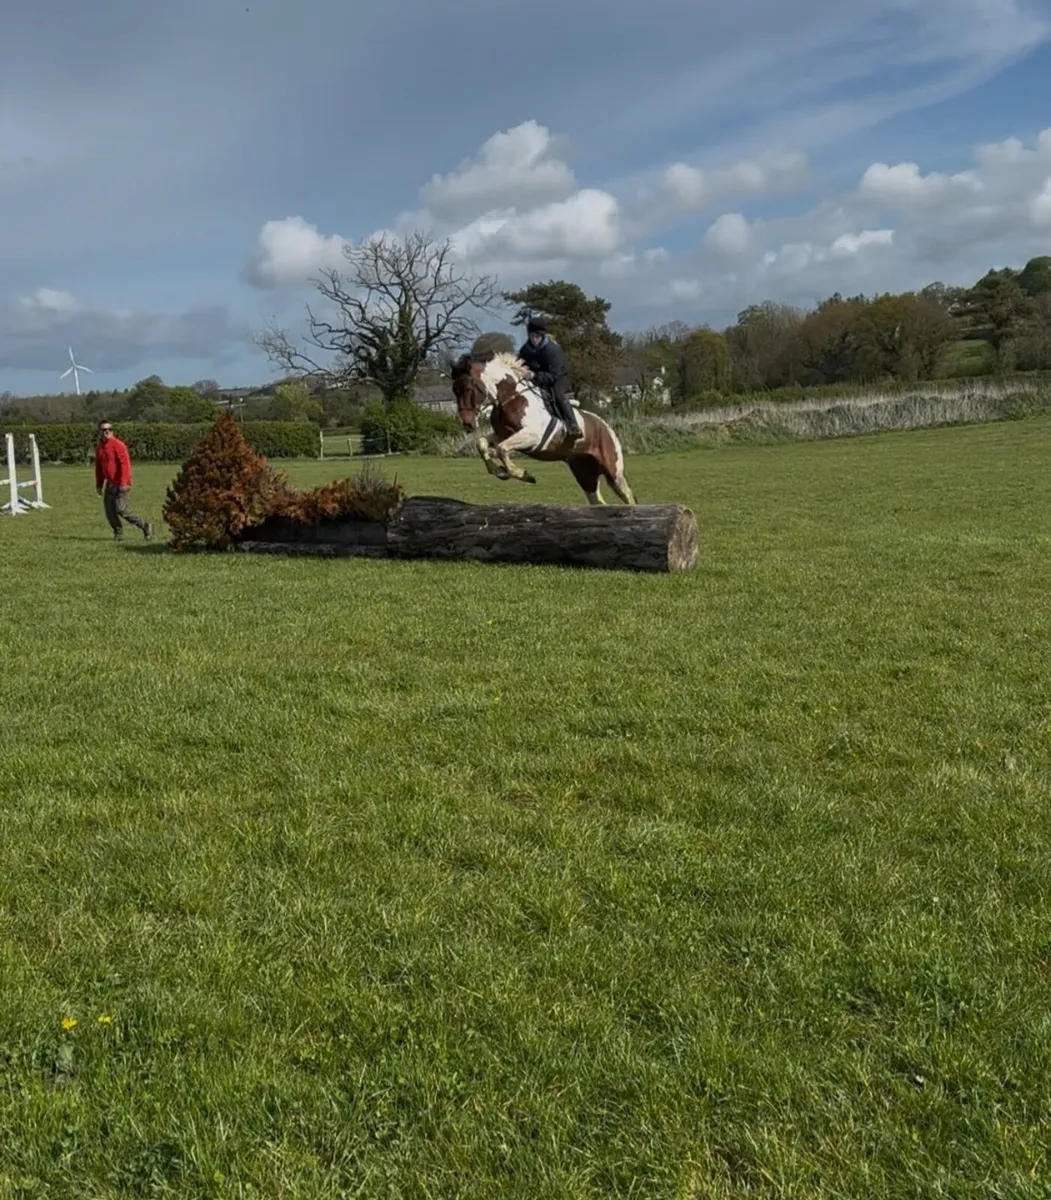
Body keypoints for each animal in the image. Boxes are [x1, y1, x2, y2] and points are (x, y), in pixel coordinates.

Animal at [449, 352, 636, 505]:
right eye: (454, 390)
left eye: (468, 389)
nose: (468, 424)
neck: (511, 398)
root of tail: (606, 426)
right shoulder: (502, 434)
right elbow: (482, 444)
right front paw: (500, 472)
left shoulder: (532, 436)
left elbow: (502, 449)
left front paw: (522, 474)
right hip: (584, 472)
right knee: (597, 501)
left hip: (613, 471)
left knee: (628, 496)